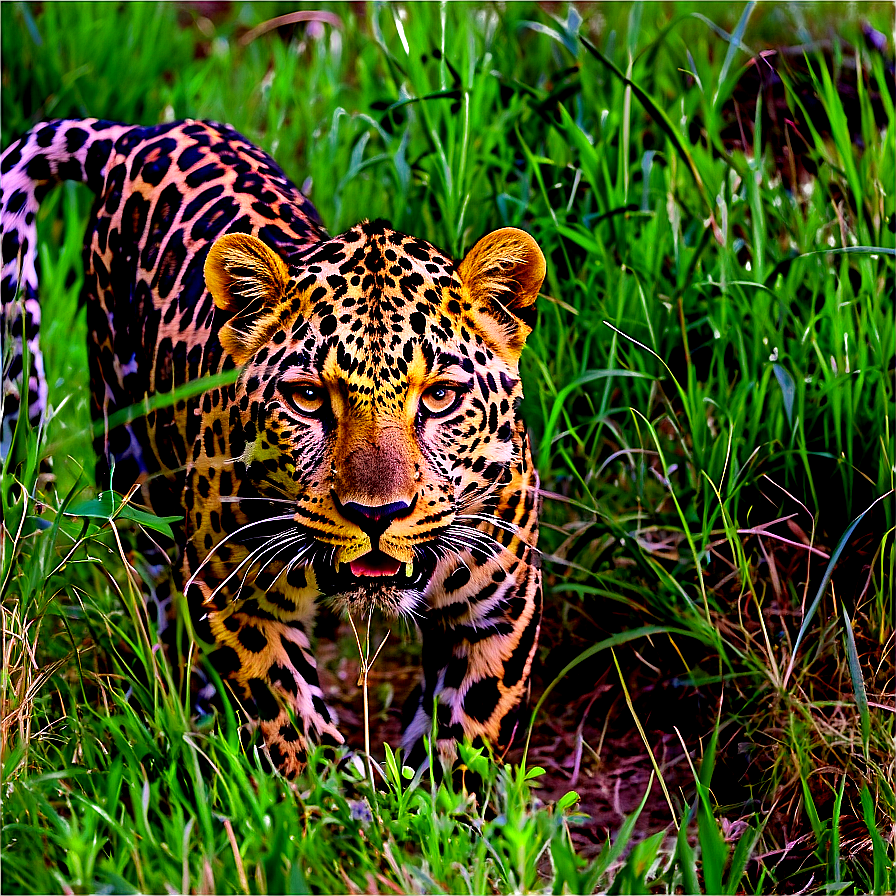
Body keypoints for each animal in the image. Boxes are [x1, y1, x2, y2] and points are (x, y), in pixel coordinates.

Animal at [0, 117, 544, 776]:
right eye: (307, 398)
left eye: (439, 396)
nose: (376, 515)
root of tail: (140, 130)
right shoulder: (232, 594)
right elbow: (289, 716)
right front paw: (329, 797)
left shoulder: (499, 609)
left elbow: (466, 735)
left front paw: (433, 797)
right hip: (131, 466)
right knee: (159, 595)